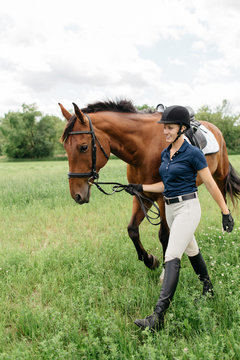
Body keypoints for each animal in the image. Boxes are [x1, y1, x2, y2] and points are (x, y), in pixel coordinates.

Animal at [59, 100, 240, 270]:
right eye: (65, 148)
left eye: (83, 147)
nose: (77, 195)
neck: (144, 150)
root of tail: (215, 128)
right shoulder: (140, 195)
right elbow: (132, 230)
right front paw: (150, 260)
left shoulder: (163, 197)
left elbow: (164, 235)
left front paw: (165, 267)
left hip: (219, 176)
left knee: (221, 196)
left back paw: (225, 227)